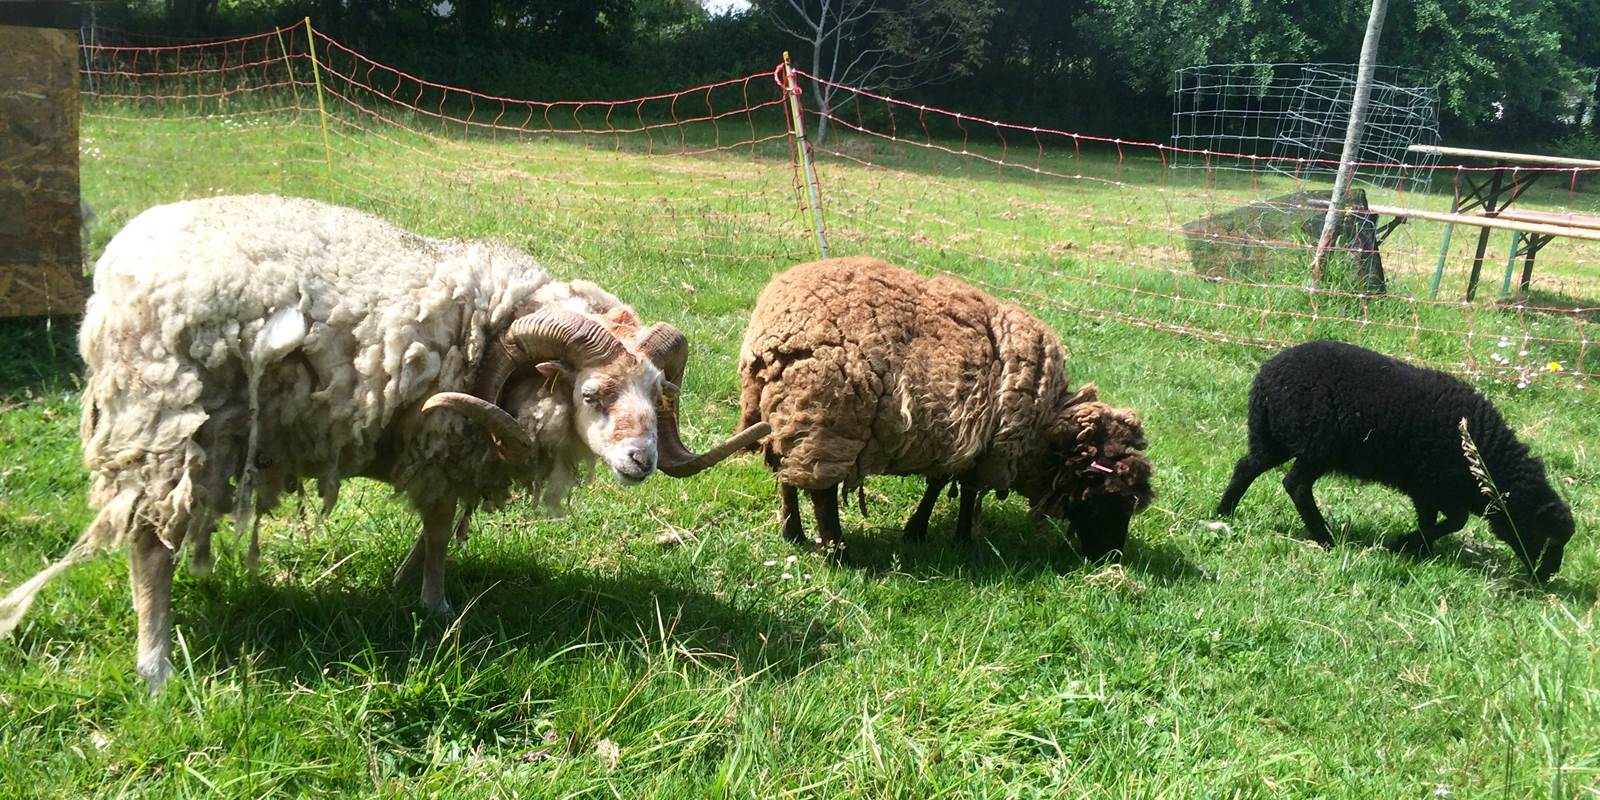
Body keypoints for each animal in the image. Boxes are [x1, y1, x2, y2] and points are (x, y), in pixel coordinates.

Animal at [736, 259, 1152, 560]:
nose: (1111, 557)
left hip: (790, 417)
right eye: (1106, 499)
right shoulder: (987, 447)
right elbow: (966, 492)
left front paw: (918, 531)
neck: (1043, 432)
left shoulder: (957, 439)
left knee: (785, 475)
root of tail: (770, 334)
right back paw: (838, 553)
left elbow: (940, 485)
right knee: (822, 496)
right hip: (828, 420)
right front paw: (960, 536)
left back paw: (793, 532)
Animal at [1216, 339, 1568, 582]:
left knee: (1246, 466)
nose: (1546, 578)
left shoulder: (1431, 488)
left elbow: (1438, 521)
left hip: (1276, 438)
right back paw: (1325, 538)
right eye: (1545, 535)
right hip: (1318, 444)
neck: (1485, 460)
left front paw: (1420, 549)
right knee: (1296, 485)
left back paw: (1224, 512)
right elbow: (1453, 520)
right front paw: (1406, 544)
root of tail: (1267, 378)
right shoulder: (1430, 483)